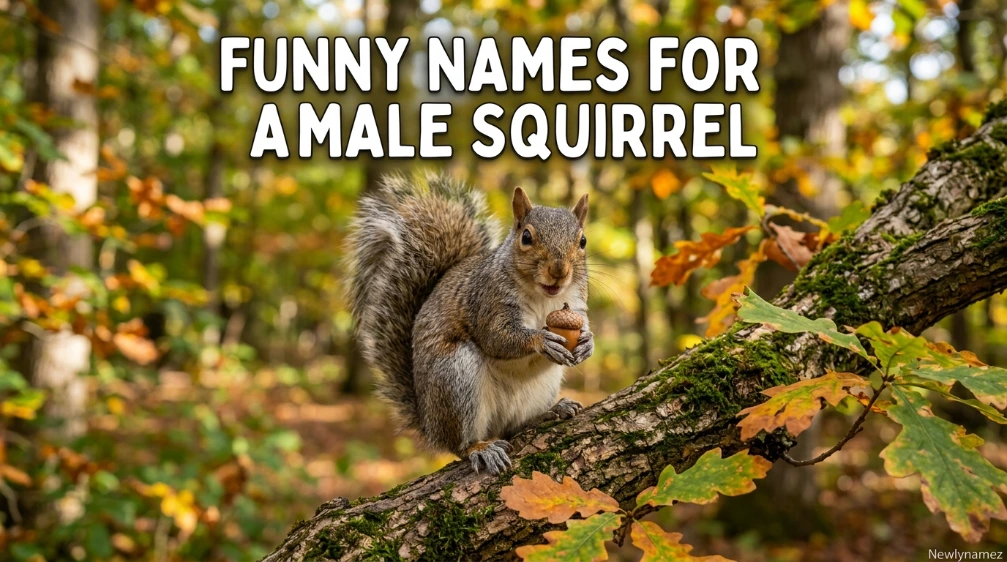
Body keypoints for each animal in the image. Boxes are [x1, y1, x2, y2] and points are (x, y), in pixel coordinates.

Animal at [348, 174, 593, 475]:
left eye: (582, 241)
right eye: (526, 237)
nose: (559, 271)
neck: (544, 297)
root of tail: (429, 423)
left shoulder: (576, 305)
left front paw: (587, 343)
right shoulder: (487, 302)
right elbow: (496, 338)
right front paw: (541, 340)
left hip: (541, 387)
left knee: (515, 426)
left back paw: (551, 412)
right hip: (455, 376)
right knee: (460, 443)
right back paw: (480, 448)